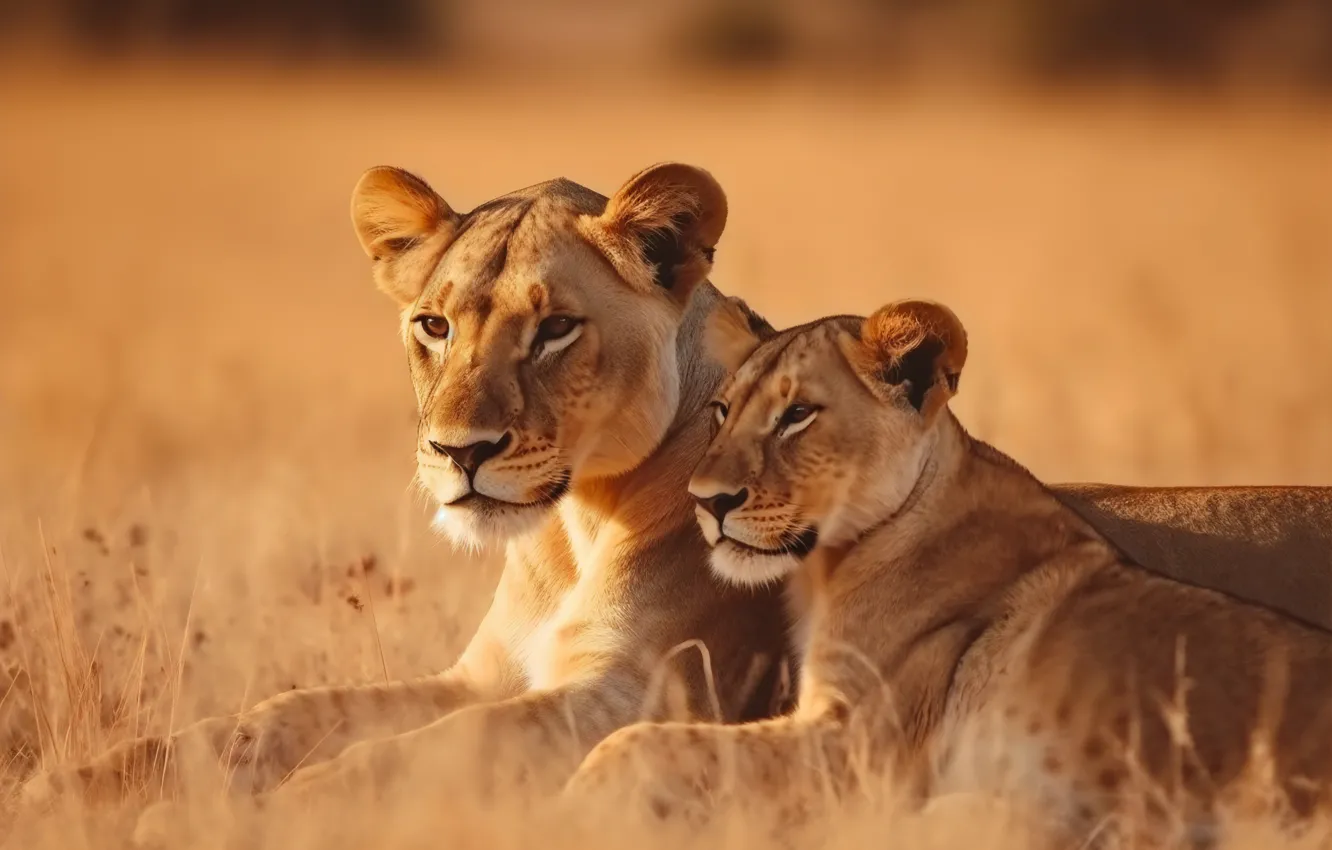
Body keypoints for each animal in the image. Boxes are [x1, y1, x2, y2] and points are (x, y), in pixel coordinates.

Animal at [565, 298, 1332, 846]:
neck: (830, 565)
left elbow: (638, 742)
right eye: (723, 411)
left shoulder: (856, 750)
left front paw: (577, 809)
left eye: (798, 415)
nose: (706, 500)